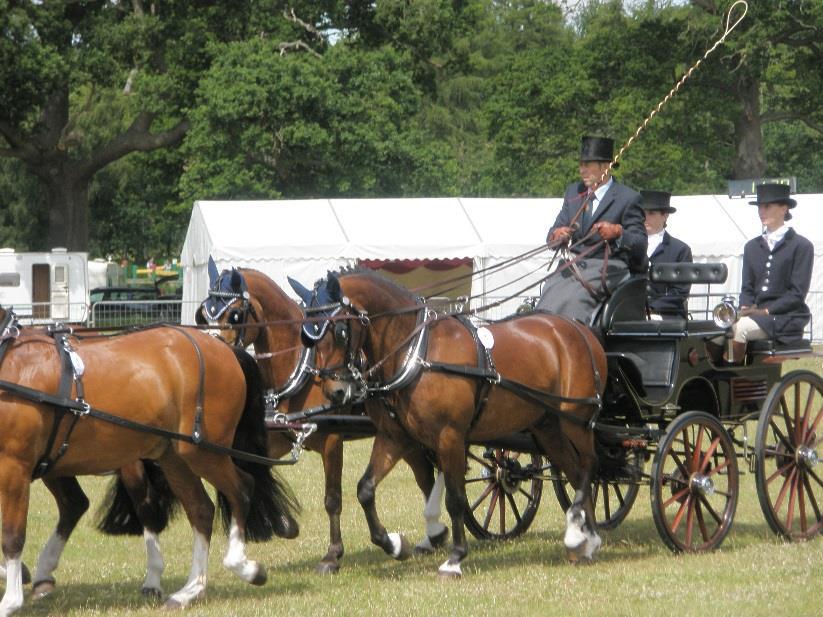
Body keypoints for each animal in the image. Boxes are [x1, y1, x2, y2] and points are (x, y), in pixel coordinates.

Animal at [0, 316, 300, 612]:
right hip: (173, 457)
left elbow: (12, 536)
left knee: (241, 489)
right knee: (201, 509)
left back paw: (243, 567)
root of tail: (223, 347)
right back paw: (189, 591)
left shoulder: (14, 467)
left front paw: (10, 601)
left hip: (201, 451)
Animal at [196, 264, 448, 572]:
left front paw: (332, 554)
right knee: (424, 476)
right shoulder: (283, 433)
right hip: (402, 433)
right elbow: (255, 468)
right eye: (203, 313)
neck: (302, 367)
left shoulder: (331, 440)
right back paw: (433, 536)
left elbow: (332, 499)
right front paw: (284, 524)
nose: (213, 353)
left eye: (234, 314)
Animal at [296, 270, 604, 576]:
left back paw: (581, 534)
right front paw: (393, 544)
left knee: (589, 467)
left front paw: (455, 557)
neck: (415, 353)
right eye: (307, 336)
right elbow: (365, 489)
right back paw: (585, 539)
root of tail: (579, 329)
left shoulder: (450, 436)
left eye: (340, 330)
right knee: (576, 472)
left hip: (577, 420)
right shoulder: (394, 436)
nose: (334, 392)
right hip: (548, 427)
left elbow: (456, 499)